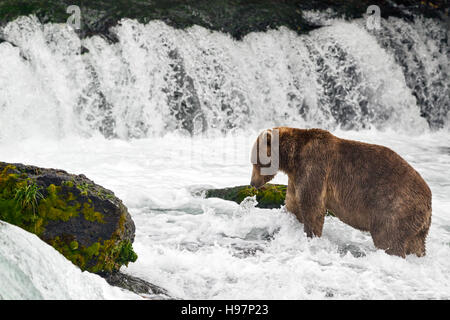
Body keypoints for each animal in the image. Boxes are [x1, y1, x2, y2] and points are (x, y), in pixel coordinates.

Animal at [251, 127, 430, 258]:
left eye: (255, 161)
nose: (253, 183)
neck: (293, 157)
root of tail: (428, 201)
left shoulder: (314, 167)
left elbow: (312, 208)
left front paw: (311, 237)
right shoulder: (296, 177)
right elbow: (293, 205)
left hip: (394, 206)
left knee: (388, 239)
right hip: (416, 225)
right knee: (416, 244)